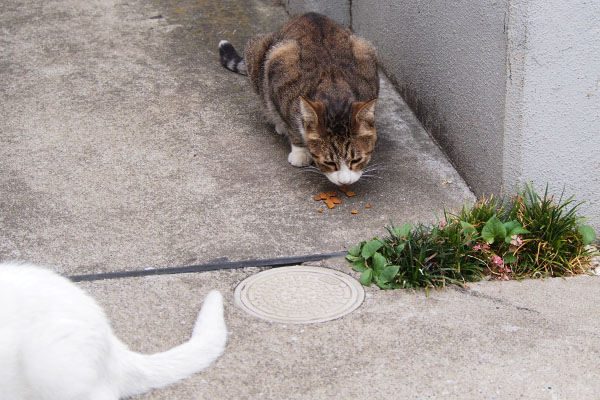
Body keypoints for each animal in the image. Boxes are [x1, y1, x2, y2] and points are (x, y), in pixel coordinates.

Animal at [220, 12, 380, 186]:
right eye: (329, 163)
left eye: (356, 160)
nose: (345, 183)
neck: (334, 93)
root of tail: (308, 14)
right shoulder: (281, 70)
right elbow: (290, 123)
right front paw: (299, 151)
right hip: (262, 53)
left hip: (364, 46)